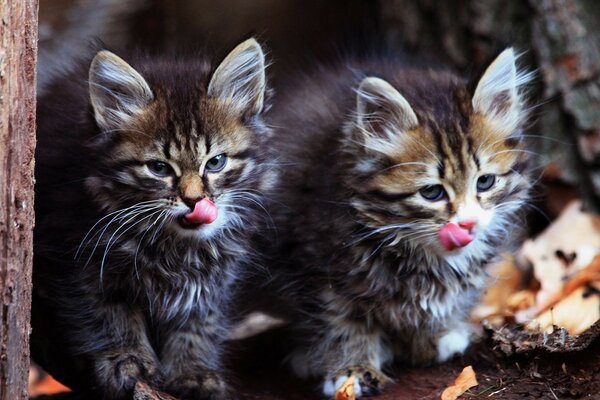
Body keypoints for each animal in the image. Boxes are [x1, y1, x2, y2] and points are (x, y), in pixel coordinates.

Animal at [31, 38, 274, 400]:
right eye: (159, 168)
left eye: (215, 162)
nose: (194, 200)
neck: (174, 245)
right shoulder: (79, 260)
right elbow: (111, 316)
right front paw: (127, 360)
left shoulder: (213, 275)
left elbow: (198, 321)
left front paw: (193, 372)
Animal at [268, 49, 536, 396]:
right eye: (432, 192)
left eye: (485, 182)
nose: (468, 224)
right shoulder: (319, 270)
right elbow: (341, 322)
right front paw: (352, 370)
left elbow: (438, 304)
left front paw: (431, 340)